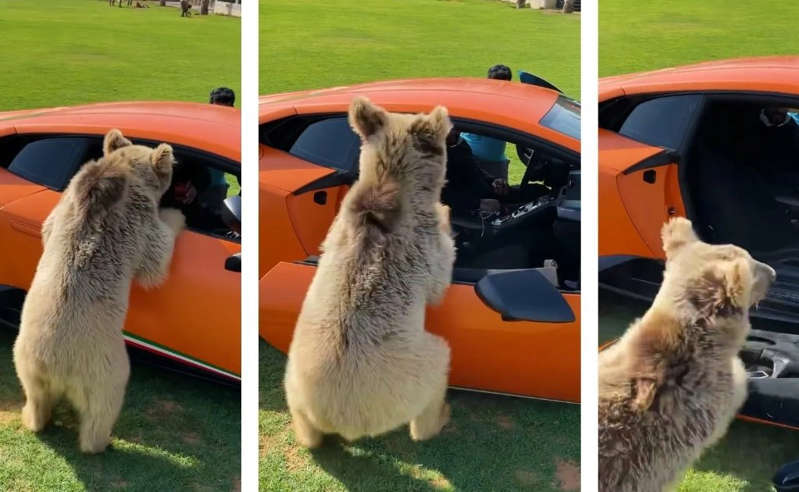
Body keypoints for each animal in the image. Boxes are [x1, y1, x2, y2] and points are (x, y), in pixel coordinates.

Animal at [14, 130, 184, 454]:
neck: (121, 171)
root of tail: (56, 368)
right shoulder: (136, 219)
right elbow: (155, 259)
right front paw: (176, 215)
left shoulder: (67, 201)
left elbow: (48, 227)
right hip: (102, 364)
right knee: (103, 405)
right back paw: (99, 442)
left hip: (25, 362)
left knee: (35, 396)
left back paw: (32, 417)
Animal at [284, 98, 456, 448]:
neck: (388, 182)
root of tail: (337, 420)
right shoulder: (423, 243)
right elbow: (440, 280)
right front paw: (446, 211)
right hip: (409, 376)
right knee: (436, 372)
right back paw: (440, 416)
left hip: (293, 384)